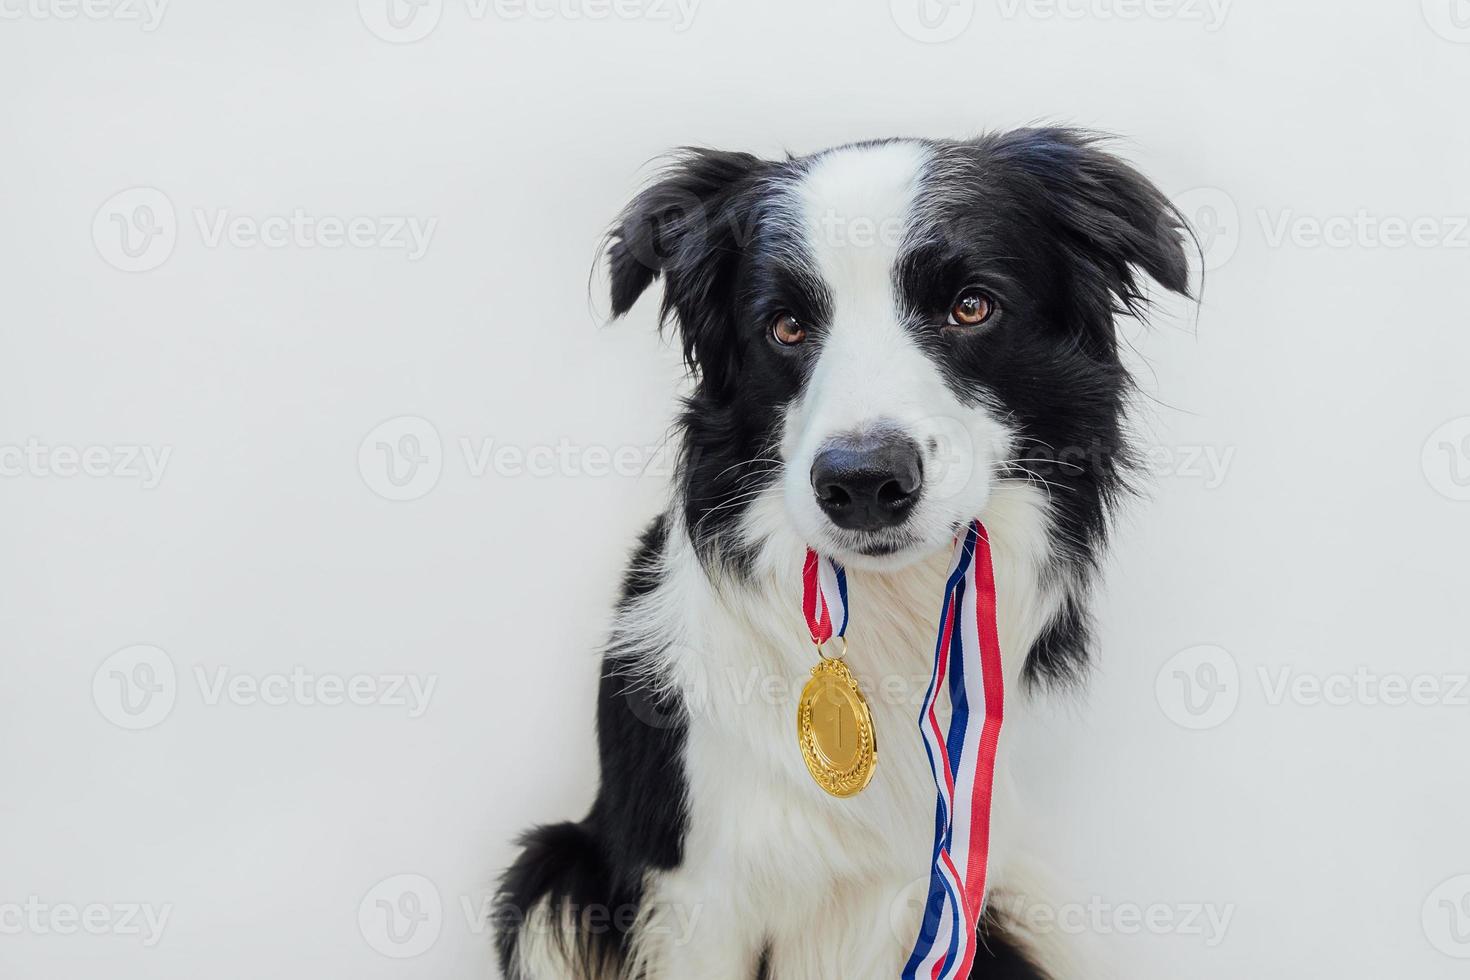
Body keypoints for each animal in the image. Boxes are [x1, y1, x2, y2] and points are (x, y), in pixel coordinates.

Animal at [499, 130, 1187, 980]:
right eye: (786, 326)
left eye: (971, 306)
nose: (863, 482)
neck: (890, 614)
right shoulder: (701, 892)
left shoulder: (932, 893)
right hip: (551, 879)